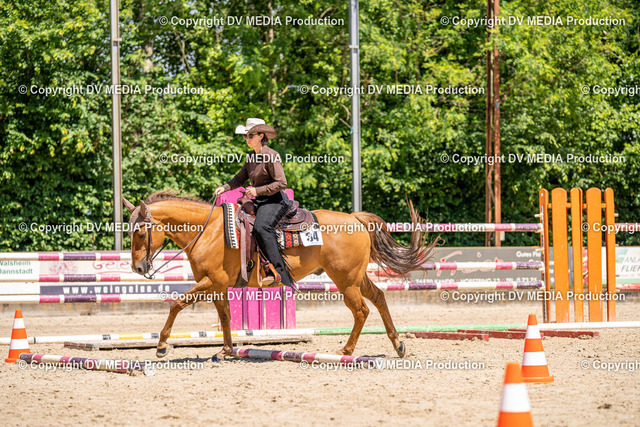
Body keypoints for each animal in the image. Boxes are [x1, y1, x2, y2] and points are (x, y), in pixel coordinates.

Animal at [123, 191, 436, 360]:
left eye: (140, 231)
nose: (138, 268)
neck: (209, 230)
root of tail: (355, 219)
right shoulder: (218, 287)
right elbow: (225, 317)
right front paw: (226, 350)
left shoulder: (211, 283)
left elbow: (176, 304)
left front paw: (161, 346)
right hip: (357, 278)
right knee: (380, 299)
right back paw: (398, 345)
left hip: (346, 281)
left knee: (361, 310)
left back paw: (346, 351)